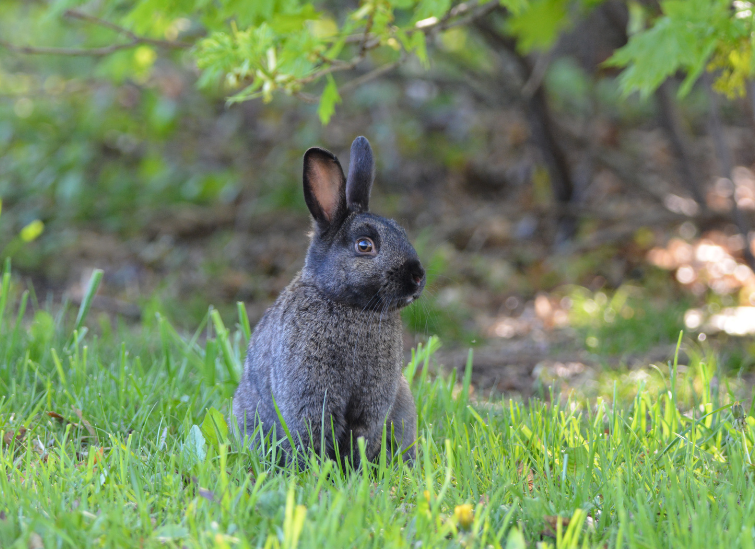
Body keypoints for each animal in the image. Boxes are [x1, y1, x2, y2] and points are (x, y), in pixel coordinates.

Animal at [235, 135, 426, 464]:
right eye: (364, 245)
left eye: (402, 232)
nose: (417, 276)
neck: (349, 306)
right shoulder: (310, 398)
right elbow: (314, 435)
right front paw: (320, 469)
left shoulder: (373, 404)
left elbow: (362, 437)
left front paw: (354, 469)